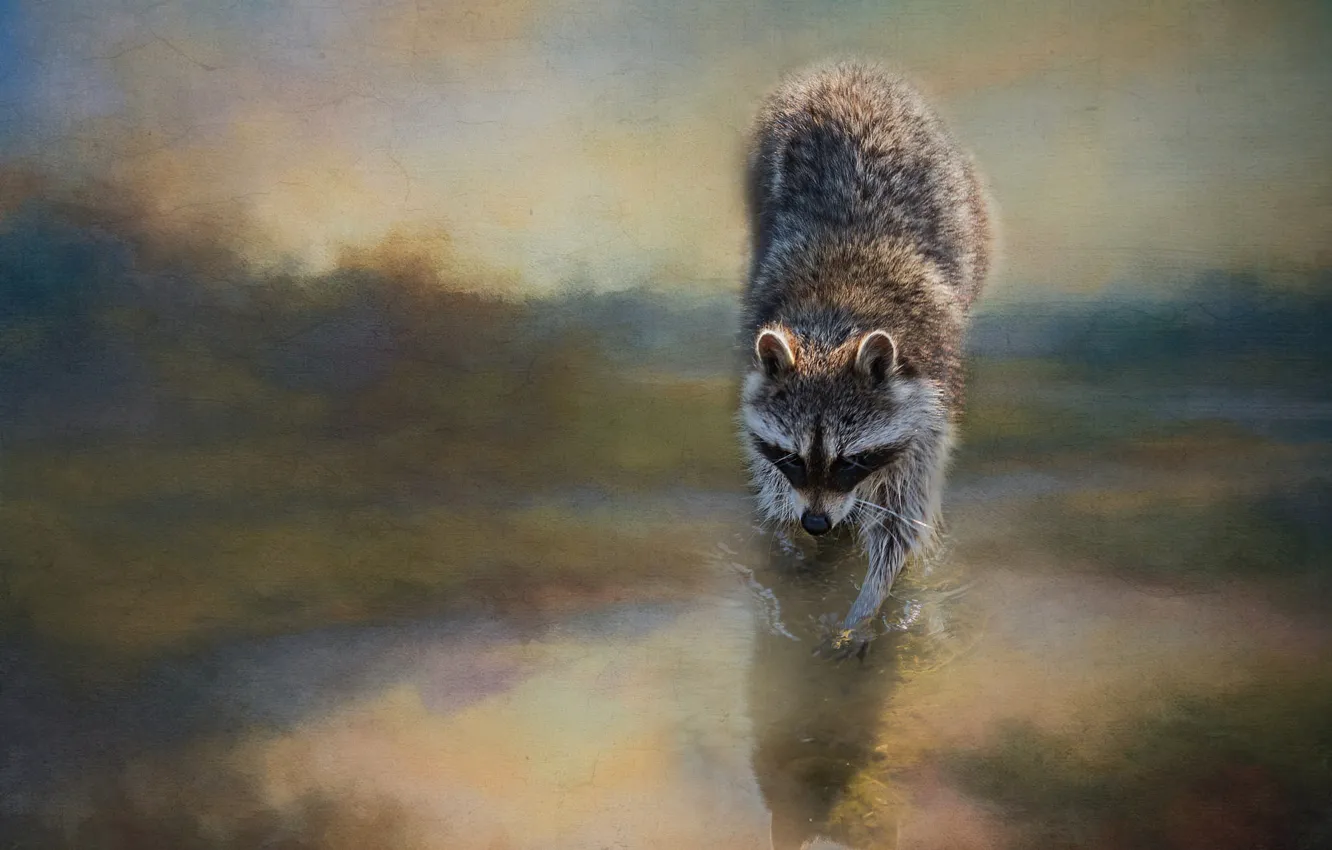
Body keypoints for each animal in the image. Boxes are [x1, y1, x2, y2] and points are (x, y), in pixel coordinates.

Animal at [739, 61, 992, 655]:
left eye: (849, 461)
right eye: (792, 457)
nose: (815, 525)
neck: (835, 325)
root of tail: (844, 72)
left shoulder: (928, 412)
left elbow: (900, 522)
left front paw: (867, 603)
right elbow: (770, 481)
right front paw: (793, 542)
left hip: (968, 203)